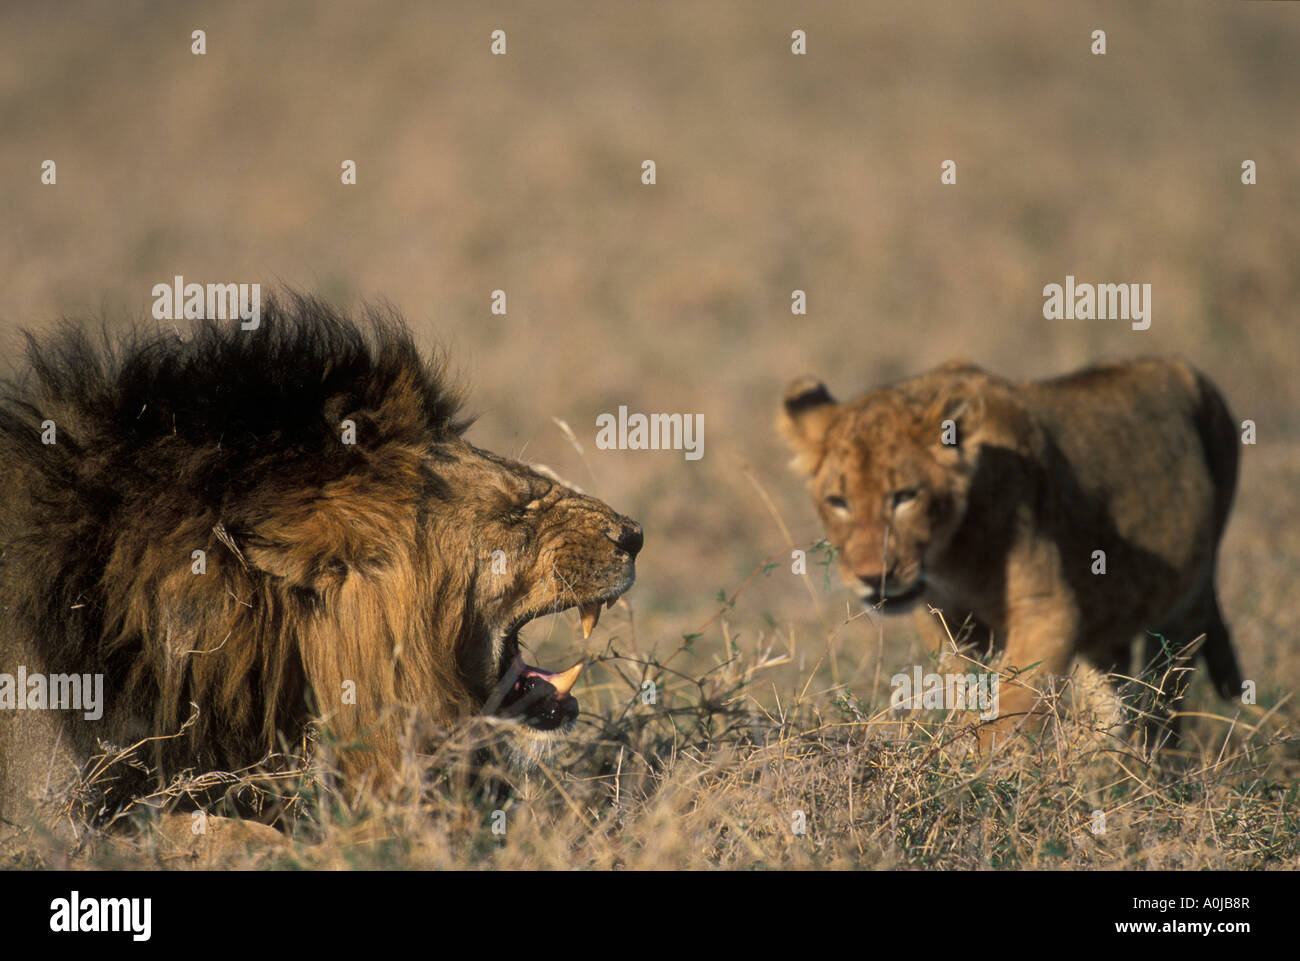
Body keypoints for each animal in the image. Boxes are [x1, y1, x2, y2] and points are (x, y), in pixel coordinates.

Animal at [774, 356, 1242, 738]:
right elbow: (965, 694)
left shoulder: (1048, 609)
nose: (875, 577)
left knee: (1164, 706)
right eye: (839, 501)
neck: (950, 555)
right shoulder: (946, 621)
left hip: (1186, 609)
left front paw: (980, 778)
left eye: (905, 496)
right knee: (1114, 701)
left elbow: (1010, 706)